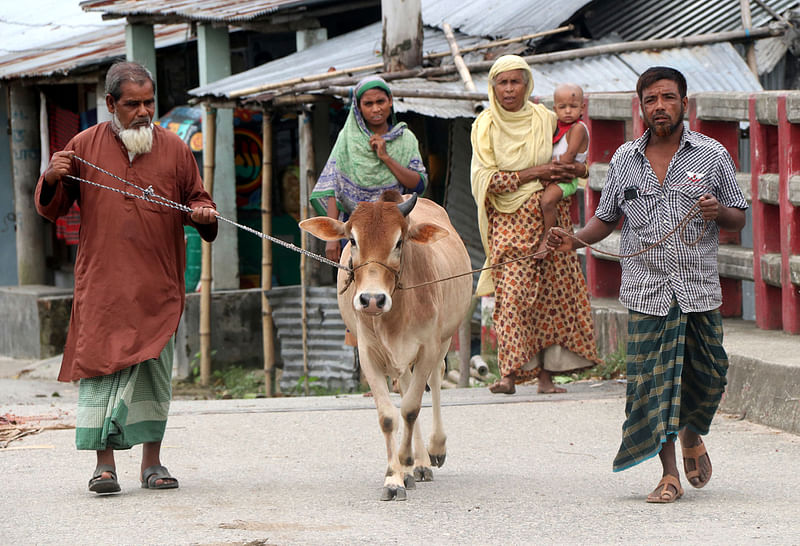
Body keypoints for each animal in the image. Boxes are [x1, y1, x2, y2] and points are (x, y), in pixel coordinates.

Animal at [302, 189, 476, 500]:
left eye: (399, 241)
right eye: (353, 240)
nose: (372, 300)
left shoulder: (429, 347)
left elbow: (410, 408)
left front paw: (407, 460)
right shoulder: (369, 354)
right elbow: (388, 416)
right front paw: (395, 476)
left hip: (444, 340)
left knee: (434, 382)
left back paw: (433, 451)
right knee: (405, 388)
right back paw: (416, 465)